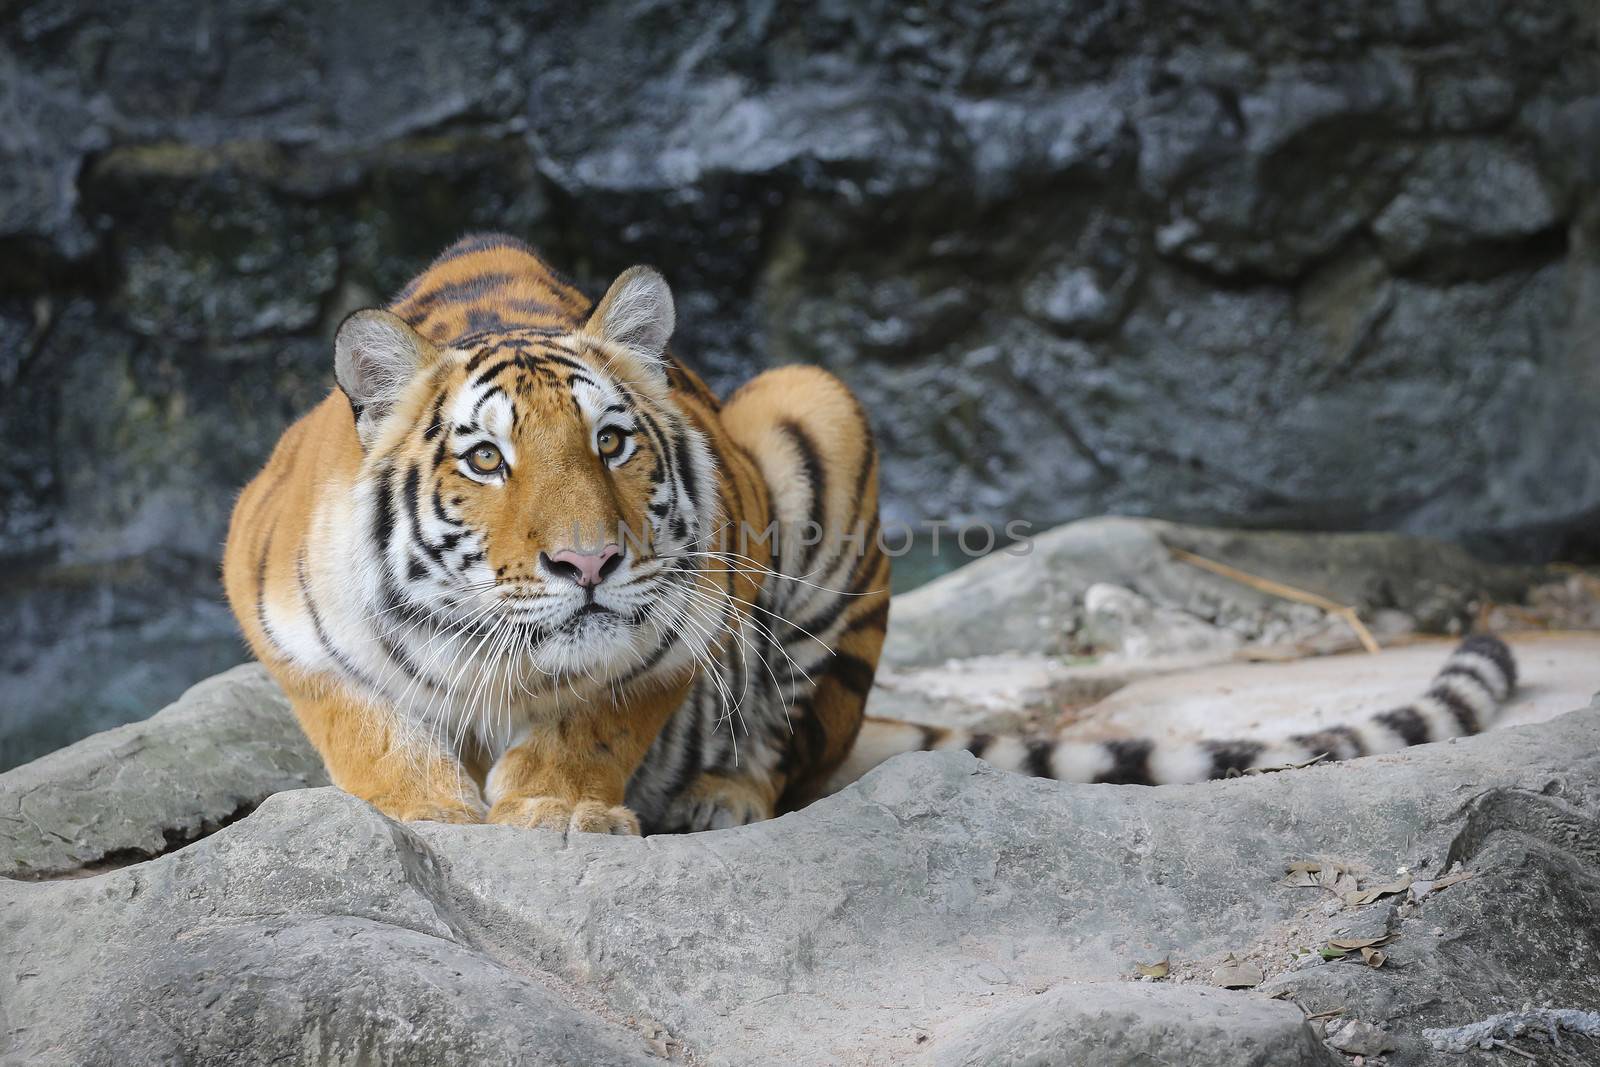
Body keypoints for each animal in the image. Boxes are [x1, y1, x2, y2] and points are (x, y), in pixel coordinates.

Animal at [222, 231, 1510, 831]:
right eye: (484, 458)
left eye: (612, 442)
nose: (588, 562)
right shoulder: (277, 605)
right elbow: (361, 721)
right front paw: (432, 808)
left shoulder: (684, 605)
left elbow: (602, 708)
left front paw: (558, 805)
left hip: (816, 418)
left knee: (792, 747)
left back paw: (718, 795)